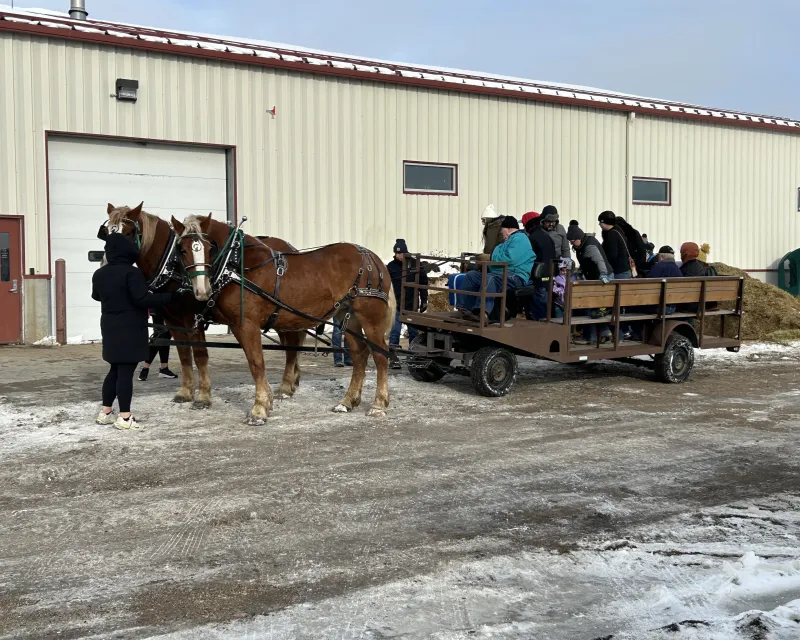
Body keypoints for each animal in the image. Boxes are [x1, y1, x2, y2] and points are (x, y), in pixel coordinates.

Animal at [103, 202, 306, 408]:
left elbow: (200, 355)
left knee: (291, 347)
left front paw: (203, 396)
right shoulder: (172, 321)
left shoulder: (193, 319)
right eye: (107, 232)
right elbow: (184, 355)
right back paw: (293, 380)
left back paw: (286, 386)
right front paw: (185, 392)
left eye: (128, 233)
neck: (171, 266)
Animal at [172, 214, 394, 424]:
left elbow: (256, 363)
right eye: (182, 250)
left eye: (209, 248)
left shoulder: (247, 325)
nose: (202, 290)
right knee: (359, 355)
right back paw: (348, 401)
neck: (237, 265)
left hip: (370, 318)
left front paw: (259, 409)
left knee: (380, 356)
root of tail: (371, 257)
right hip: (348, 317)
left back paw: (378, 404)